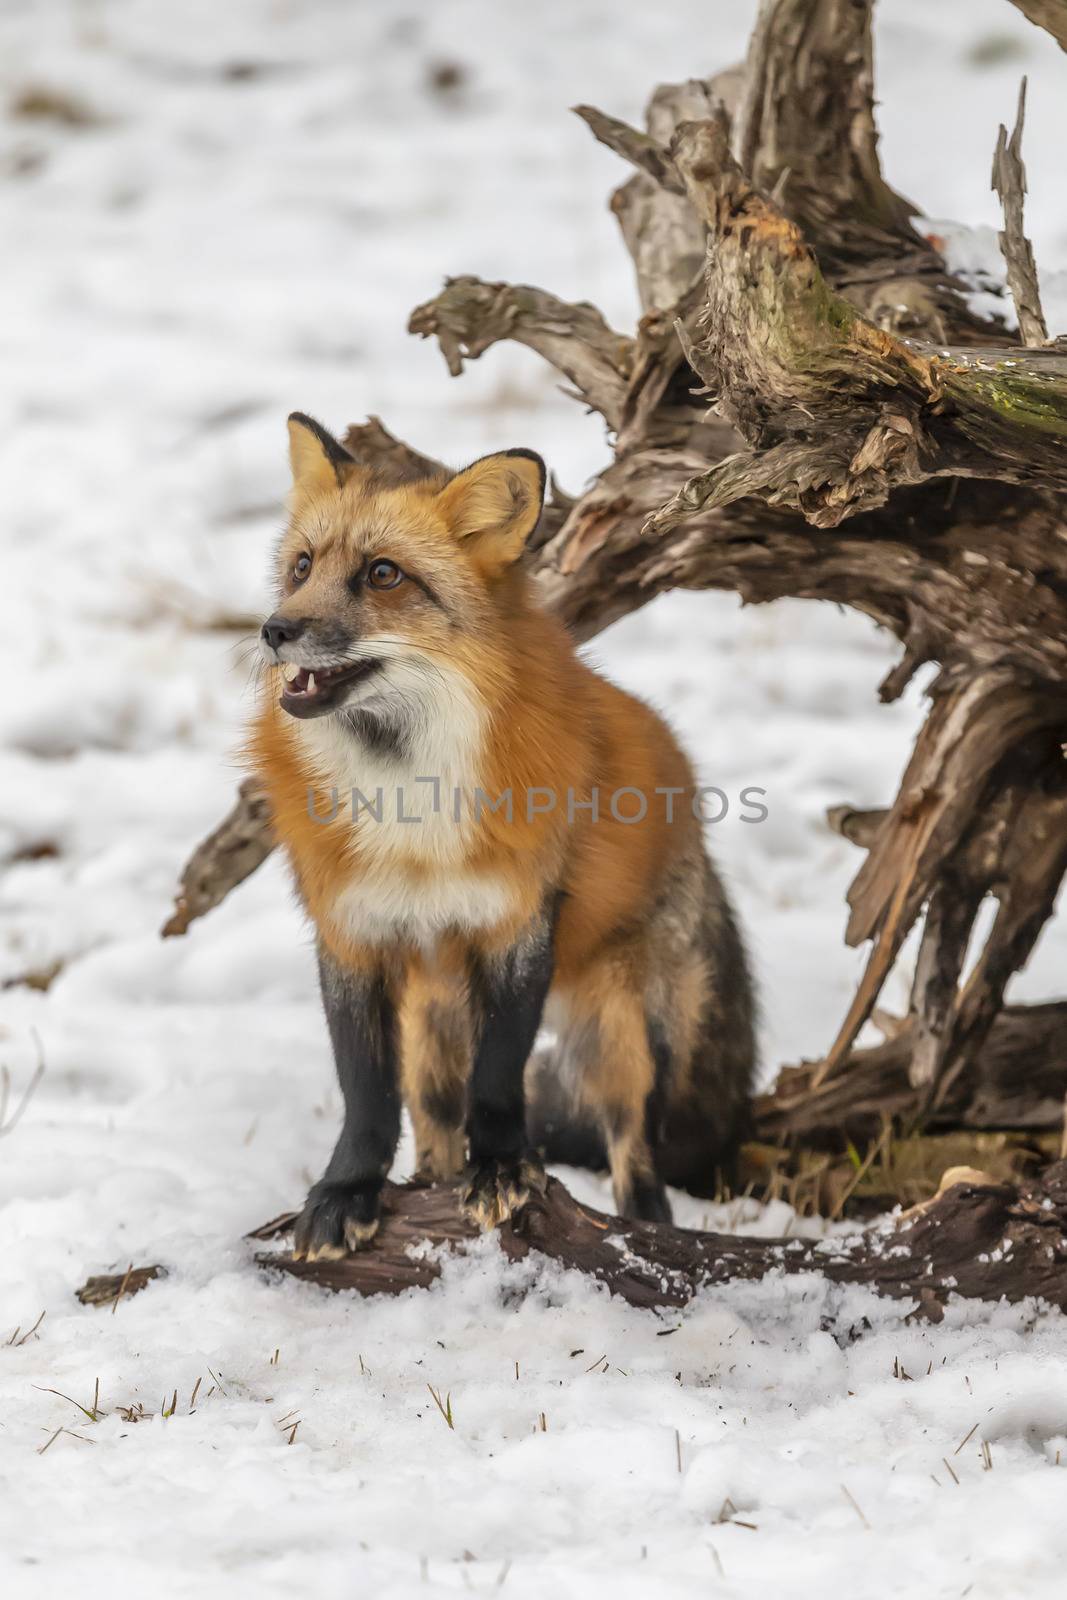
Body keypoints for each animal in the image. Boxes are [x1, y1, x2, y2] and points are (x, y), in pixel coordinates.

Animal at [247, 416, 755, 1260]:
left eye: (382, 574)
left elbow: (499, 1082)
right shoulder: (351, 933)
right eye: (302, 567)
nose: (275, 629)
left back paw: (645, 1231)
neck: (410, 811)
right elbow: (365, 1094)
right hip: (432, 1027)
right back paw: (428, 1183)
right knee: (433, 1123)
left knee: (634, 1152)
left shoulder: (517, 925)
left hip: (616, 1034)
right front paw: (346, 1193)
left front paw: (503, 1173)